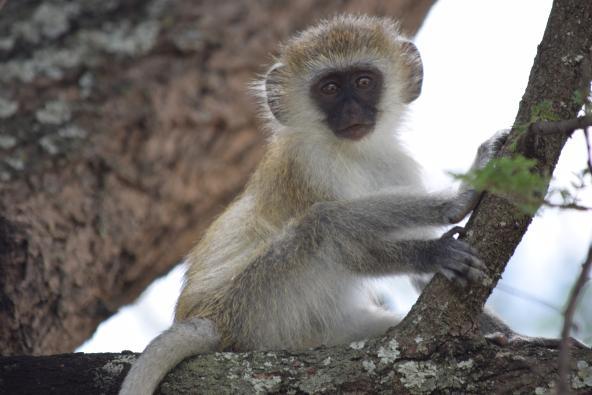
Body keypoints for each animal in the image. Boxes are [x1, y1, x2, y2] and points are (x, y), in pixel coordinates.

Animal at [119, 13, 508, 394]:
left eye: (363, 82)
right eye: (330, 89)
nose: (351, 110)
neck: (353, 153)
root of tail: (215, 322)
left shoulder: (395, 165)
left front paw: (499, 331)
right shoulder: (308, 165)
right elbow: (351, 250)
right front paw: (441, 235)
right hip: (255, 301)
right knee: (324, 223)